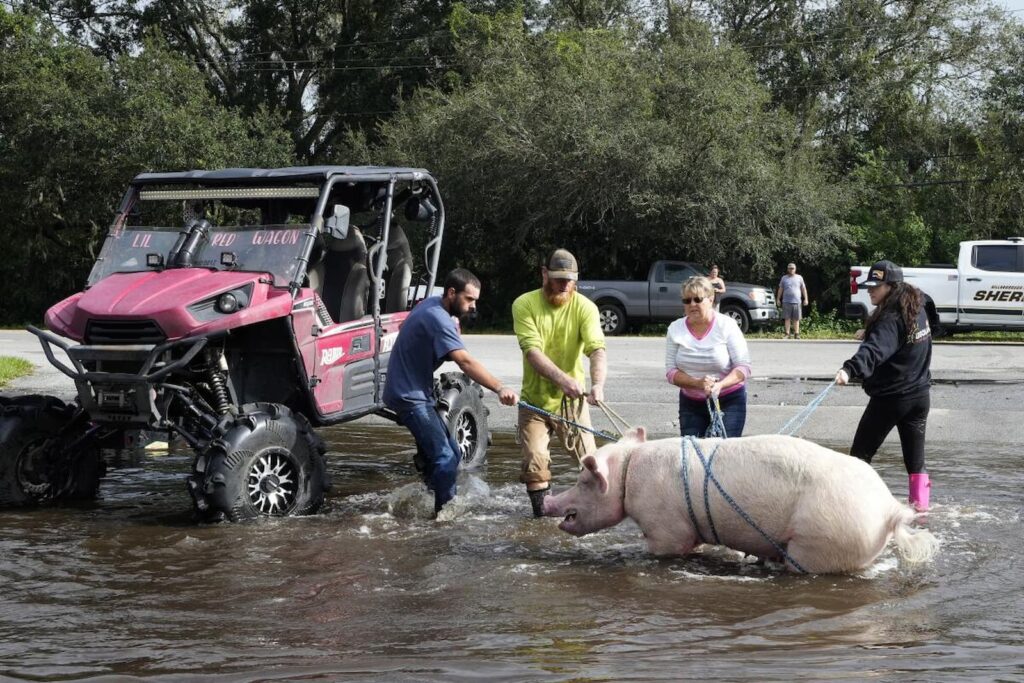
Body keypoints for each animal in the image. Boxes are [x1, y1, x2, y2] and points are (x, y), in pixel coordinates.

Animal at [544, 430, 937, 573]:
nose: (548, 501)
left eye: (582, 480)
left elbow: (668, 548)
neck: (629, 473)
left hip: (821, 541)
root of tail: (888, 510)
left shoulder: (666, 528)